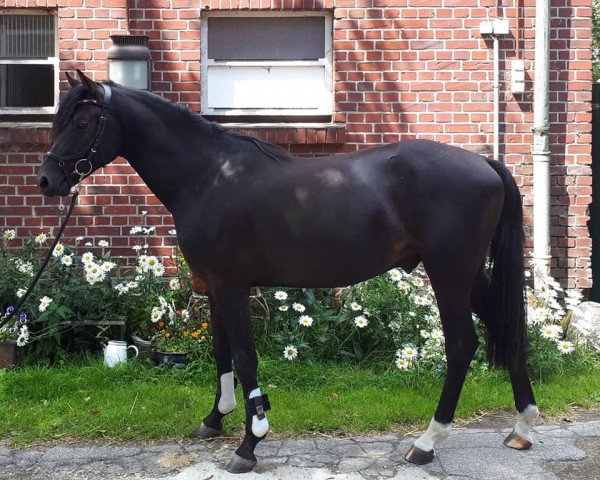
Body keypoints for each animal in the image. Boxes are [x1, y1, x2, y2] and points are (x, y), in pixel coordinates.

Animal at [36, 71, 540, 472]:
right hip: (470, 274)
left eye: (82, 123)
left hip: (449, 273)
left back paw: (426, 442)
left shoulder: (231, 285)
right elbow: (221, 353)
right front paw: (215, 418)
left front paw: (249, 442)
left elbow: (244, 356)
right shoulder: (214, 287)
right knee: (507, 327)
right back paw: (522, 428)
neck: (209, 176)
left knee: (462, 346)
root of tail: (485, 163)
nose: (47, 181)